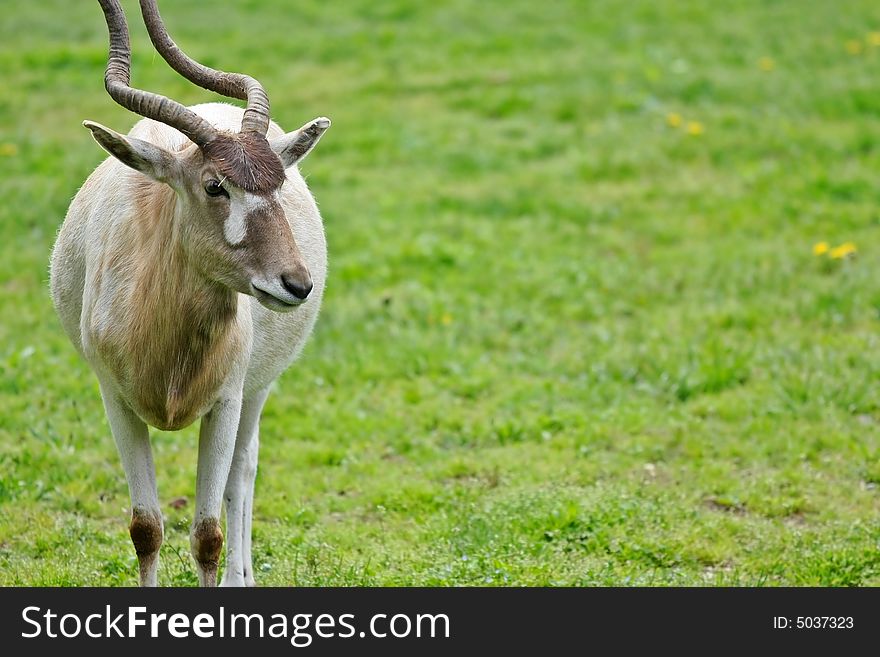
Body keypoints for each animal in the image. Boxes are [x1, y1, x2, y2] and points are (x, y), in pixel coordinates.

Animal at [49, 0, 330, 584]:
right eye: (215, 185)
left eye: (278, 183)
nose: (297, 283)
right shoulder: (116, 400)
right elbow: (146, 528)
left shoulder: (226, 401)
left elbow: (207, 535)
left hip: (257, 388)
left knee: (242, 472)